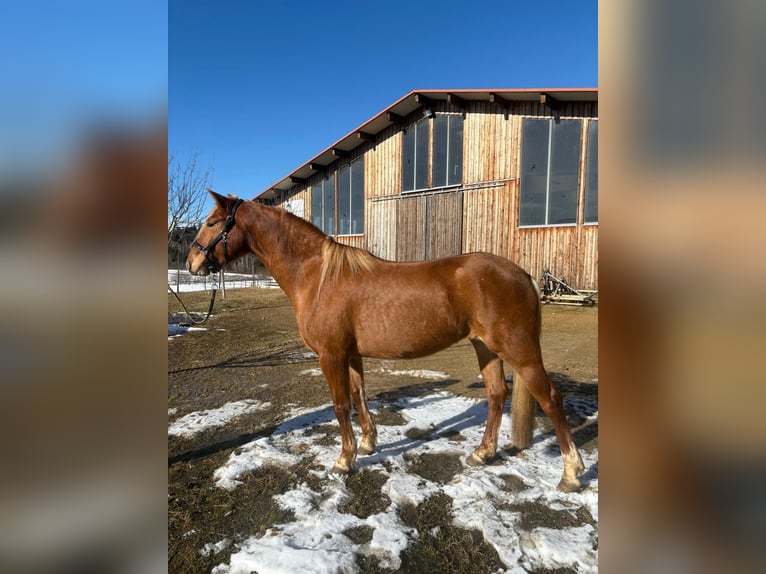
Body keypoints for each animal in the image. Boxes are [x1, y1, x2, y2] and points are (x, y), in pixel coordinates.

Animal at [186, 189, 585, 492]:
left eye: (211, 223)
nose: (192, 262)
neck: (317, 277)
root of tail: (521, 273)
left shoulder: (331, 355)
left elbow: (340, 405)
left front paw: (343, 460)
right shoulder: (350, 354)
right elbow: (359, 395)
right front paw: (367, 444)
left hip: (519, 350)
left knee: (550, 398)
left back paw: (571, 473)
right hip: (485, 347)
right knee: (496, 394)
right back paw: (483, 453)